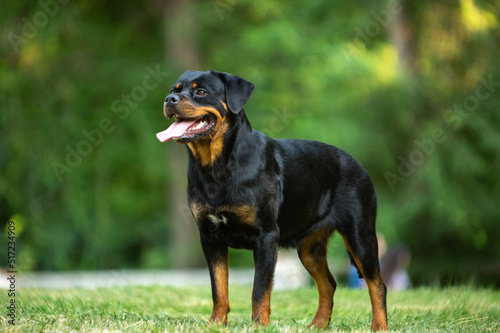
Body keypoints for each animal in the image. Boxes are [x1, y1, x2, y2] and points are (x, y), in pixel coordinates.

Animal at [156, 70, 386, 330]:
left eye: (201, 92)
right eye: (174, 90)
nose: (169, 99)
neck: (216, 166)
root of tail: (359, 165)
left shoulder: (266, 236)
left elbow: (260, 289)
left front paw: (258, 325)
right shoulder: (209, 236)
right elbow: (219, 288)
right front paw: (216, 323)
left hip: (360, 235)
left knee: (377, 283)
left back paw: (379, 326)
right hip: (309, 248)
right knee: (329, 283)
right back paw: (317, 325)